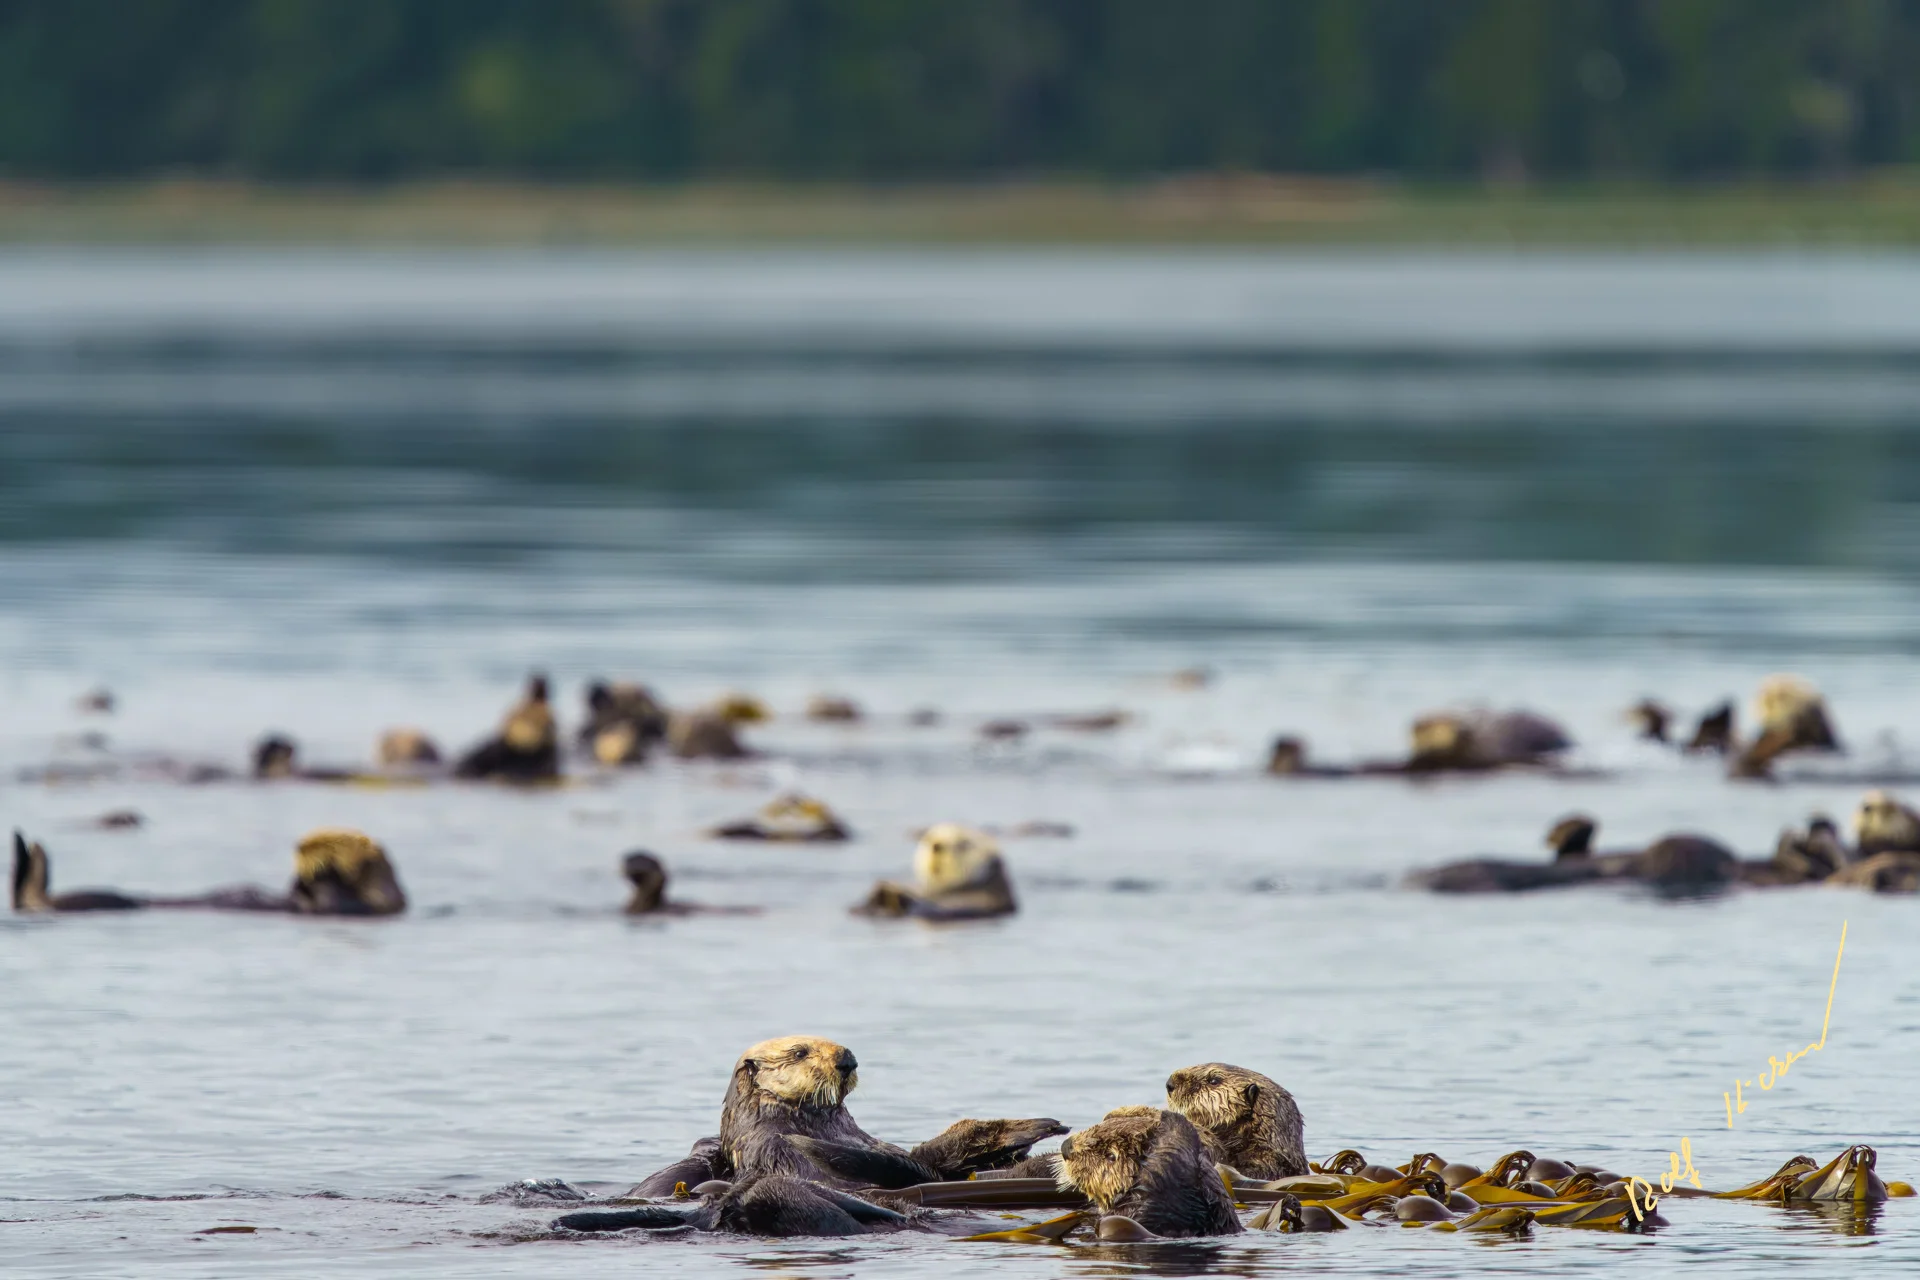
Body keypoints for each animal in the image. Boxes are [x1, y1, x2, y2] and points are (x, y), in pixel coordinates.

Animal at [853, 825, 1016, 921]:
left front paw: (891, 891)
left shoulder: (976, 901)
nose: (937, 845)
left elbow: (927, 908)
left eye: (964, 844)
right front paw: (881, 889)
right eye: (928, 838)